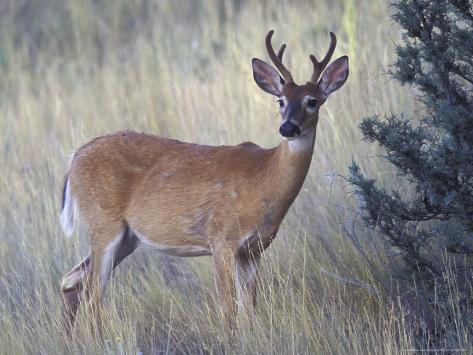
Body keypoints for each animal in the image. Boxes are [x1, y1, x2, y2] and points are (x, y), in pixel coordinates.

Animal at [58, 29, 346, 334]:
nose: (288, 127)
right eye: (280, 100)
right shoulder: (221, 237)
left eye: (312, 101)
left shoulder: (253, 250)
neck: (264, 179)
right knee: (93, 297)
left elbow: (250, 310)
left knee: (71, 280)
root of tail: (74, 158)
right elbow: (228, 311)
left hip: (127, 238)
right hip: (104, 223)